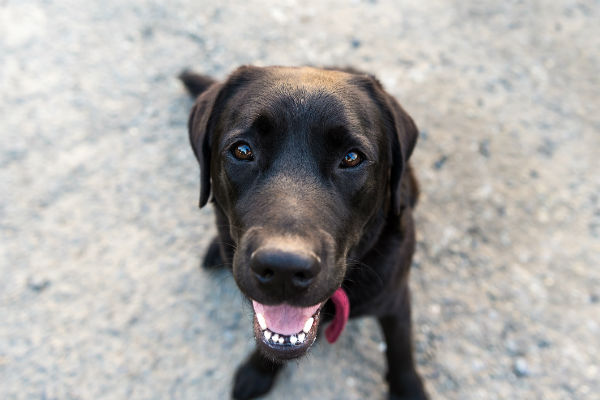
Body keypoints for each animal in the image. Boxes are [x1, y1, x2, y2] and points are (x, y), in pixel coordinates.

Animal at [179, 66, 426, 400]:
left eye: (352, 158)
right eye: (242, 150)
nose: (284, 268)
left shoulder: (395, 297)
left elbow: (400, 348)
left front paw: (409, 388)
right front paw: (258, 371)